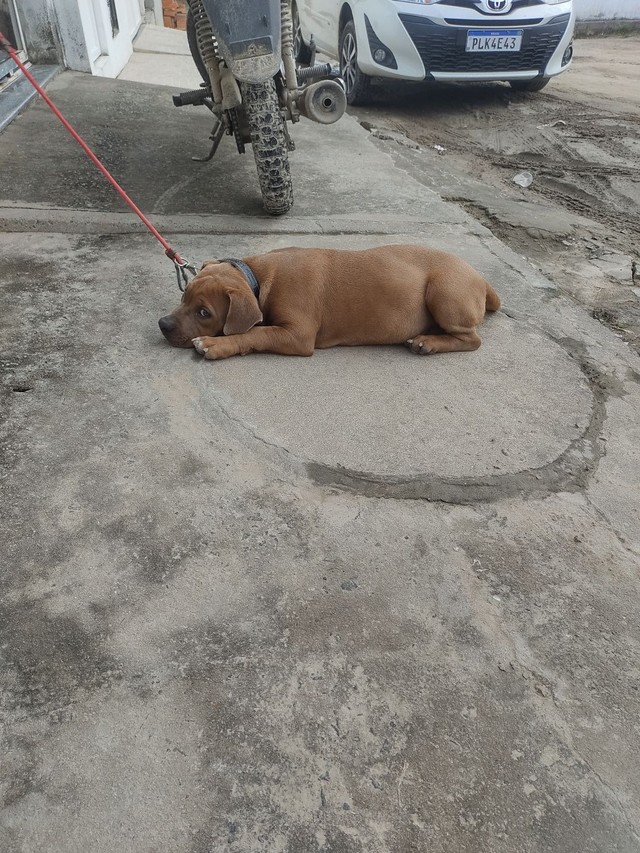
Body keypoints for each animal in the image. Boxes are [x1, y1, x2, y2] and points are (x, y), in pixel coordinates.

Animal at [160, 243, 500, 360]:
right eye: (183, 296)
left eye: (204, 312)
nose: (163, 325)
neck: (257, 276)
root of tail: (481, 279)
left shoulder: (298, 335)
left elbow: (255, 333)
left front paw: (214, 345)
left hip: (444, 292)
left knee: (472, 339)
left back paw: (427, 342)